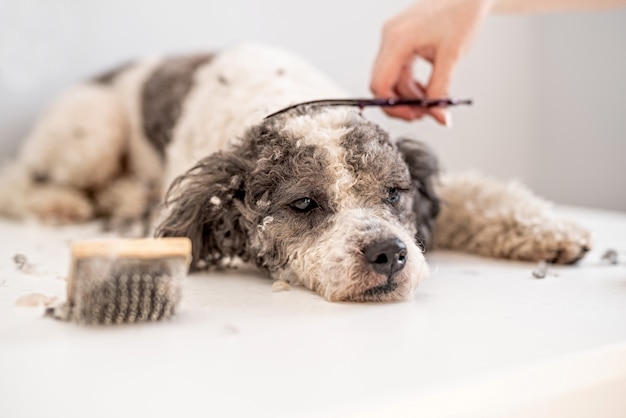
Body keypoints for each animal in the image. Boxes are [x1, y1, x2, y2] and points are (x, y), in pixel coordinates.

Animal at [0, 44, 588, 302]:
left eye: (395, 193)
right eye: (304, 203)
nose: (389, 253)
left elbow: (476, 194)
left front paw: (552, 230)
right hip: (91, 132)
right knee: (22, 180)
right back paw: (63, 202)